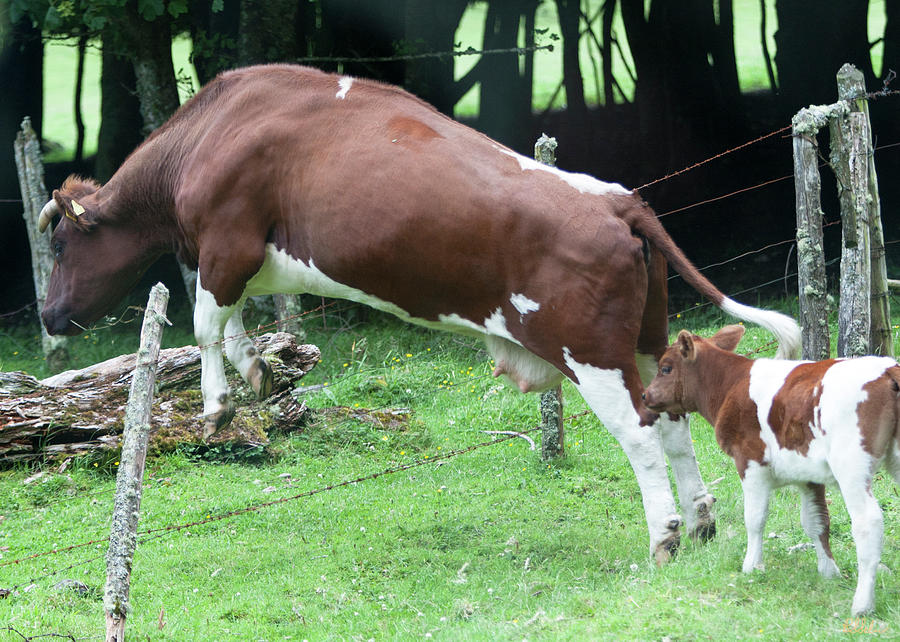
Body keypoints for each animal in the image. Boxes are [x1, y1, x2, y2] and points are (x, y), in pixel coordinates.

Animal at [37, 64, 800, 563]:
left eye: (61, 242)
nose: (46, 314)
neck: (214, 130)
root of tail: (617, 199)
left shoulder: (227, 242)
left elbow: (204, 327)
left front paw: (219, 405)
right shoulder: (242, 260)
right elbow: (235, 326)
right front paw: (258, 371)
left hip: (590, 352)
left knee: (641, 433)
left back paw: (664, 536)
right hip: (647, 342)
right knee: (673, 427)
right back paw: (699, 525)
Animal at [642, 324, 900, 614]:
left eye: (665, 368)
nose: (644, 394)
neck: (731, 384)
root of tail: (887, 369)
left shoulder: (750, 461)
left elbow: (755, 518)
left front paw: (752, 566)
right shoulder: (808, 475)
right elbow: (816, 521)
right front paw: (829, 572)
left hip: (851, 465)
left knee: (868, 522)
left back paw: (862, 604)